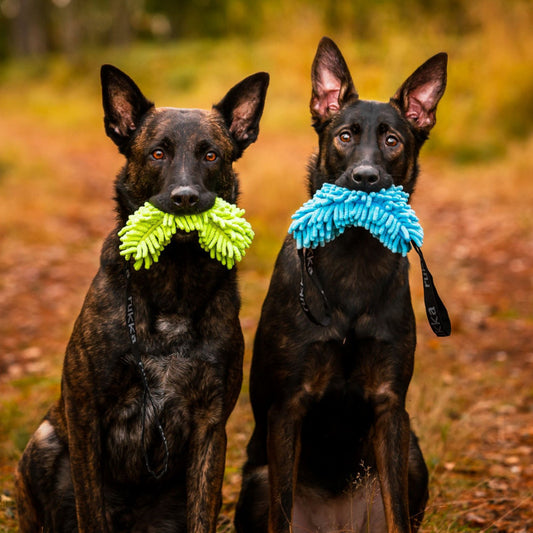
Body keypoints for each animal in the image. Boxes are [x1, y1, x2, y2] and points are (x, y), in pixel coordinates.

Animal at [15, 64, 270, 528]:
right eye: (157, 154)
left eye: (211, 156)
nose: (185, 199)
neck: (173, 283)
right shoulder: (84, 415)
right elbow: (90, 510)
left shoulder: (211, 426)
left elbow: (202, 515)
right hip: (43, 441)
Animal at [235, 37, 446, 532]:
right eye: (345, 136)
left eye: (392, 140)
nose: (364, 178)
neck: (354, 258)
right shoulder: (288, 407)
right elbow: (281, 515)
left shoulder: (390, 408)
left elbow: (398, 517)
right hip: (255, 480)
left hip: (412, 455)